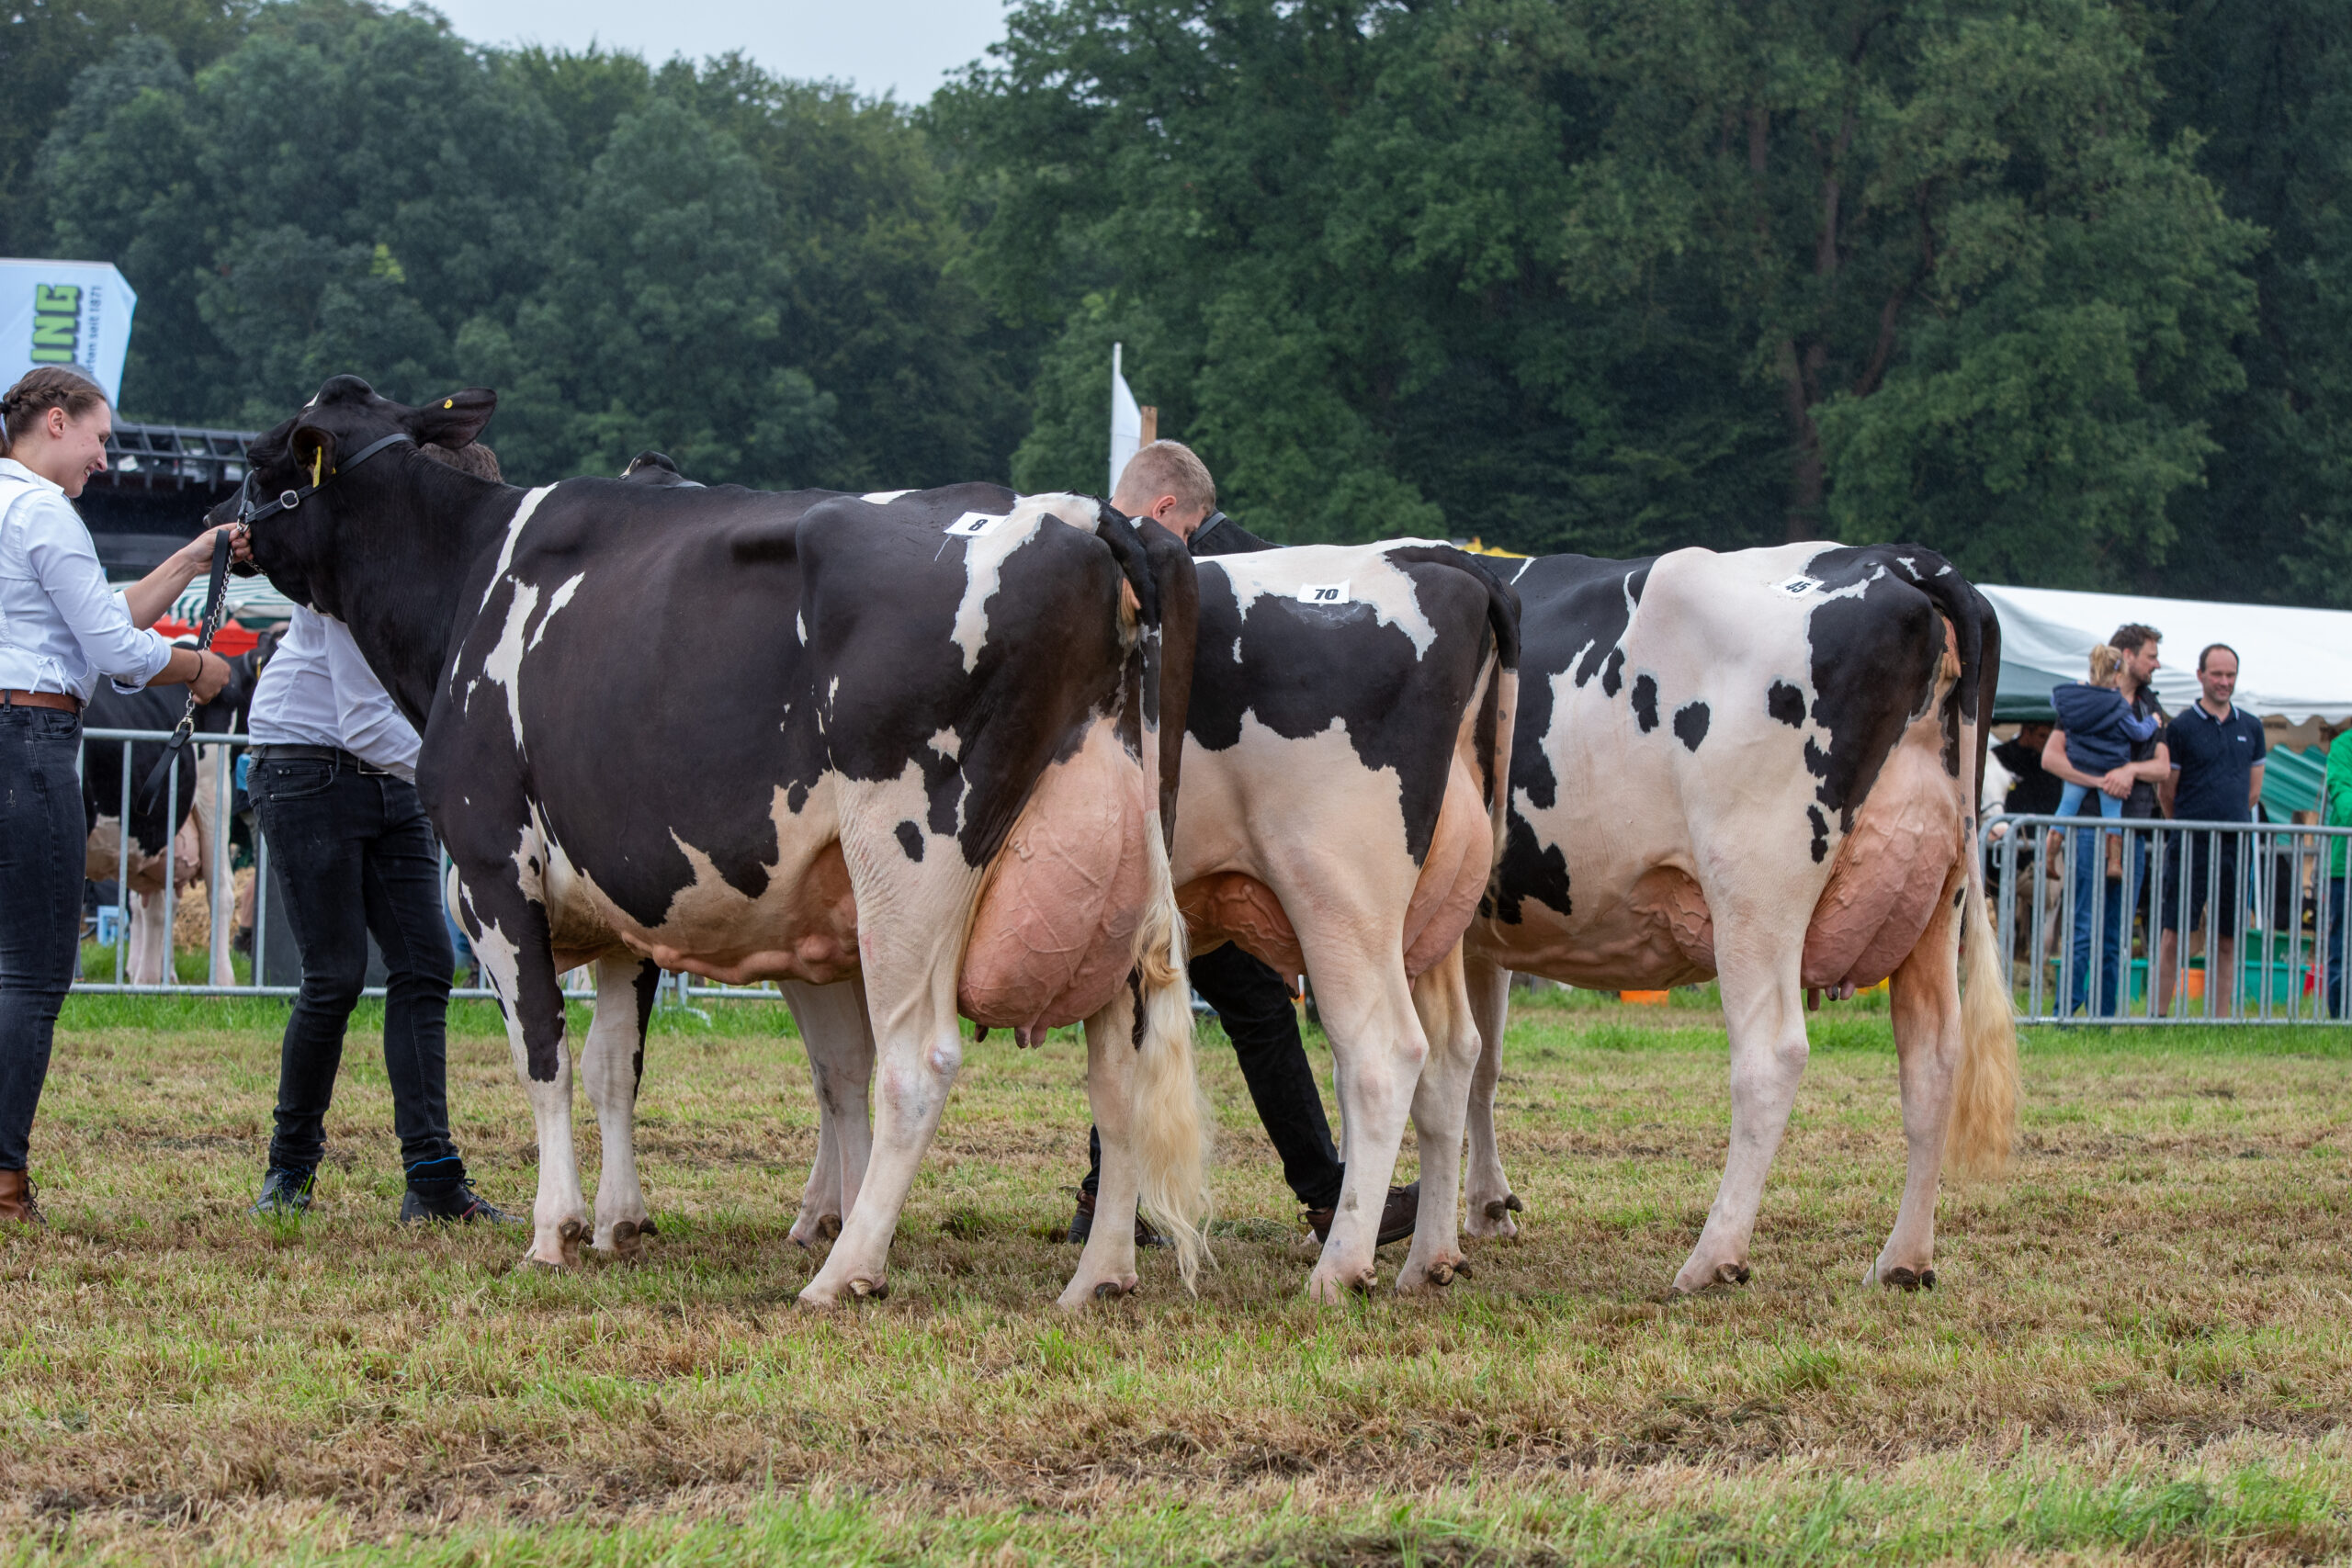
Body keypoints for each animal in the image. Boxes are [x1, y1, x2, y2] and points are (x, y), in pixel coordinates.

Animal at [220, 380, 1213, 1316]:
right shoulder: (624, 898)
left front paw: (554, 1228)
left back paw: (846, 1271)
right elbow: (612, 1066)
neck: (471, 579)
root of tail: (1081, 515)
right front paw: (620, 1219)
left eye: (263, 461)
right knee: (1119, 1068)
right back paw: (1098, 1274)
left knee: (918, 1062)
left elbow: (542, 1051)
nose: (223, 537)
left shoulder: (493, 867)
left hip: (911, 856)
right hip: (1117, 873)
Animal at [1458, 545, 2013, 1297]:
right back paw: (1904, 1259)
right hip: (1937, 895)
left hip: (1755, 891)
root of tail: (1906, 561)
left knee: (1771, 1056)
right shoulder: (1479, 935)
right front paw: (1488, 1207)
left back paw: (1712, 1256)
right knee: (1933, 1058)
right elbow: (1483, 1061)